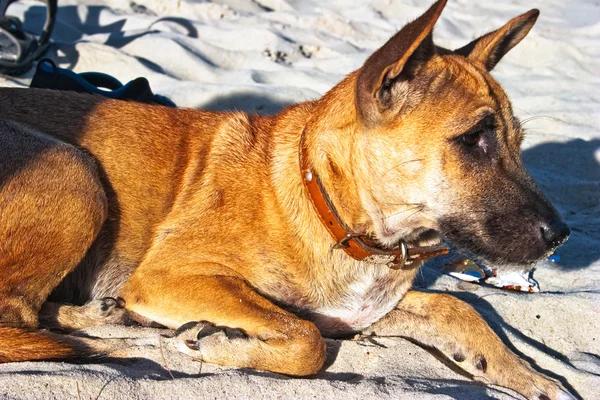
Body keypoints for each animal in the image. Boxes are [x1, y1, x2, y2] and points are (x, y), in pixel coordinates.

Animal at [0, 1, 572, 398]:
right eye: (473, 139)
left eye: (519, 140)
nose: (561, 237)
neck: (332, 210)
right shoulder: (171, 276)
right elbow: (305, 339)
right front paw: (218, 342)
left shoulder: (354, 311)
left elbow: (460, 310)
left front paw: (533, 377)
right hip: (74, 172)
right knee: (18, 318)